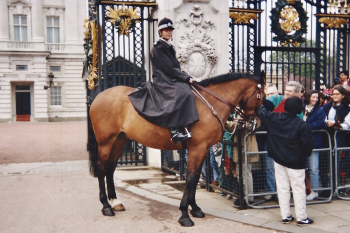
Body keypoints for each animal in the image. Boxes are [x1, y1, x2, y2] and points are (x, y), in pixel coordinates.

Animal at [88, 72, 266, 227]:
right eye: (262, 97)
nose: (256, 124)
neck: (210, 103)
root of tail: (98, 97)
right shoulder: (197, 148)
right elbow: (191, 178)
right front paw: (185, 214)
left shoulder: (203, 150)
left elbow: (195, 178)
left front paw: (195, 208)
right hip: (106, 142)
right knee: (102, 169)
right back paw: (106, 206)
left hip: (119, 140)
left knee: (110, 169)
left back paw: (115, 202)